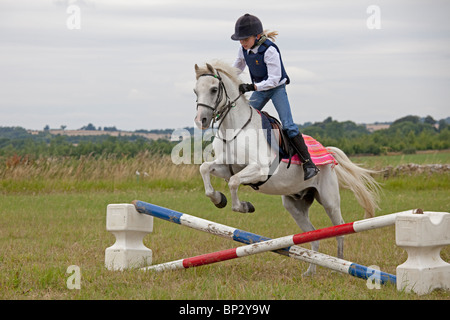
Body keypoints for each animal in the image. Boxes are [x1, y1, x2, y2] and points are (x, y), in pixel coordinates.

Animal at [192, 62, 380, 276]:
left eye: (214, 89)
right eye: (195, 91)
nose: (201, 120)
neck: (234, 130)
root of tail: (326, 151)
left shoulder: (259, 170)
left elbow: (234, 182)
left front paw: (244, 206)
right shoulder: (225, 167)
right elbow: (205, 169)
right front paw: (218, 199)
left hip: (329, 200)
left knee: (340, 230)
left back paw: (340, 267)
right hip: (295, 205)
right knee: (313, 236)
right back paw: (310, 272)